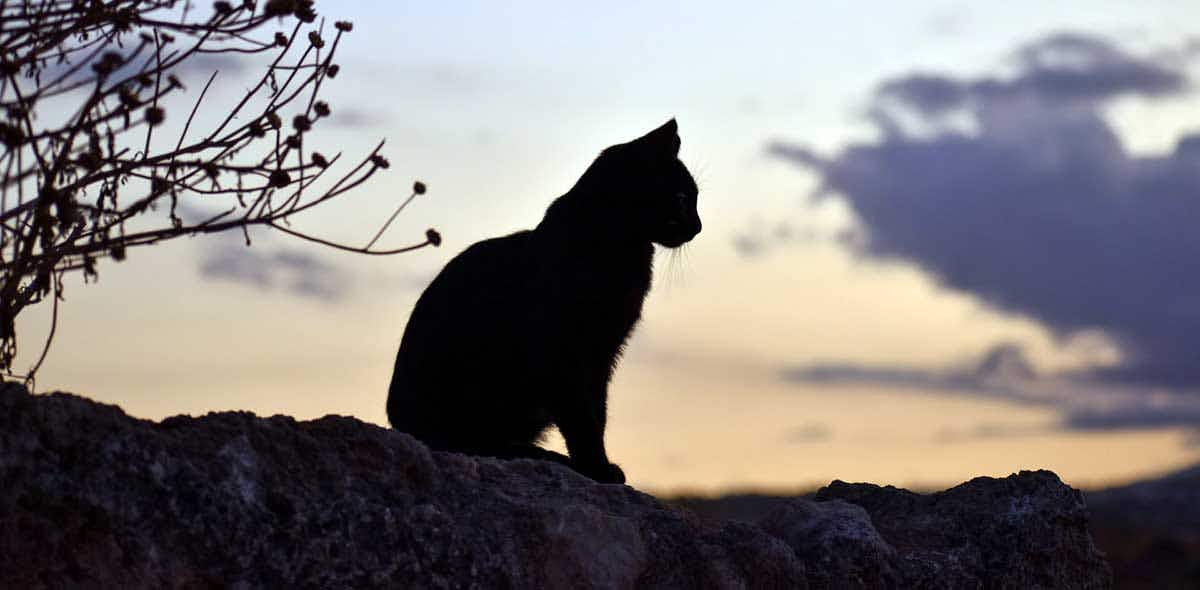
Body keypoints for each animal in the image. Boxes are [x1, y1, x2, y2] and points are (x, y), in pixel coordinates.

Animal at [388, 119, 700, 484]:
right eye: (681, 197)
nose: (698, 226)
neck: (620, 248)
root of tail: (398, 423)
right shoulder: (564, 351)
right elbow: (582, 415)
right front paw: (595, 467)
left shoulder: (604, 352)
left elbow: (598, 411)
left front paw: (597, 464)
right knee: (473, 441)